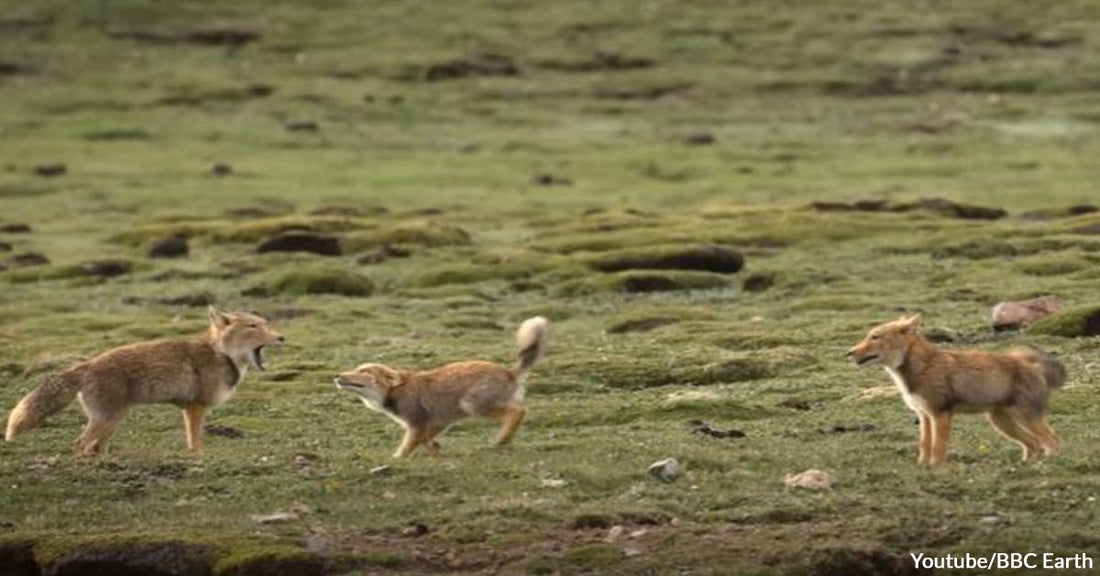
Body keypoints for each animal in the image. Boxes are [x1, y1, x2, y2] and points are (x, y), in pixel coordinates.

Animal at [330, 316, 545, 457]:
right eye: (358, 368)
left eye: (365, 371)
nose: (337, 375)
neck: (395, 391)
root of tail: (509, 372)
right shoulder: (437, 422)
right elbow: (427, 440)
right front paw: (435, 449)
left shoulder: (416, 424)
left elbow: (407, 446)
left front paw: (397, 459)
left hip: (472, 404)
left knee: (517, 412)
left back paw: (501, 439)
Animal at [840, 312, 1064, 466]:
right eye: (869, 336)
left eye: (875, 337)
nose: (848, 353)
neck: (922, 368)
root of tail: (1032, 365)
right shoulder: (924, 415)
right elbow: (924, 445)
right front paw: (922, 467)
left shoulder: (940, 413)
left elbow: (938, 447)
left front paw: (936, 469)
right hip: (1001, 423)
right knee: (1033, 444)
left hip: (1024, 419)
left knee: (1052, 441)